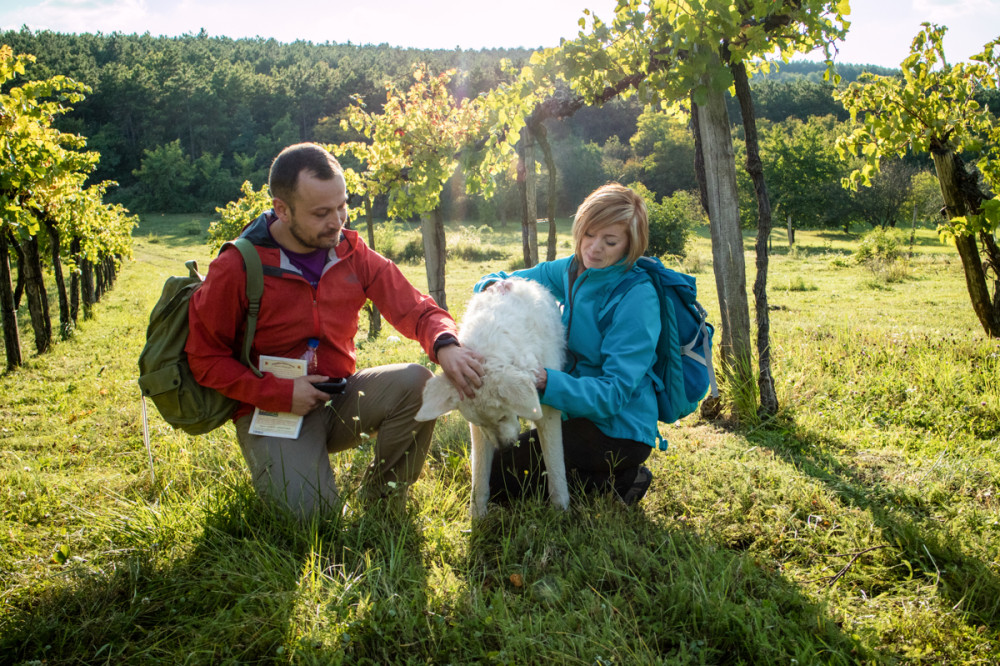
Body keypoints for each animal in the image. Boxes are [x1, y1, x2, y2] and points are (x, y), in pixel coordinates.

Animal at [416, 276, 572, 520]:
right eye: (483, 423)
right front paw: (477, 516)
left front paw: (560, 511)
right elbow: (479, 474)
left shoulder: (547, 412)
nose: (505, 448)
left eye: (502, 417)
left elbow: (555, 464)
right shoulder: (479, 431)